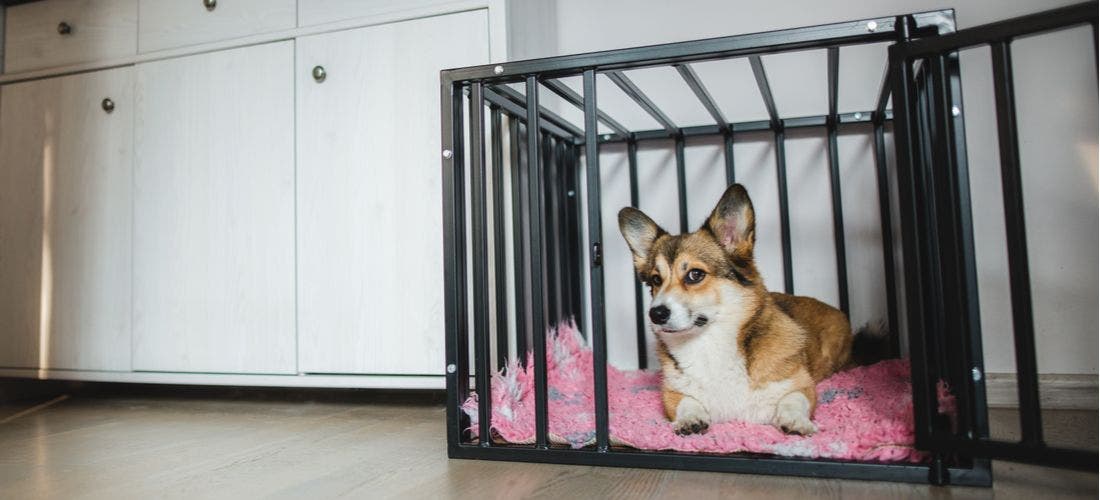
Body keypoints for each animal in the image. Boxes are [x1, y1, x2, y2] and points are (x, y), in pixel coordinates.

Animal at [620, 184, 866, 439]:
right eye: (655, 280)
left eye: (695, 275)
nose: (656, 314)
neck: (709, 341)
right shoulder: (672, 393)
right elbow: (686, 402)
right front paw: (690, 420)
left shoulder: (801, 385)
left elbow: (793, 400)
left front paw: (796, 421)